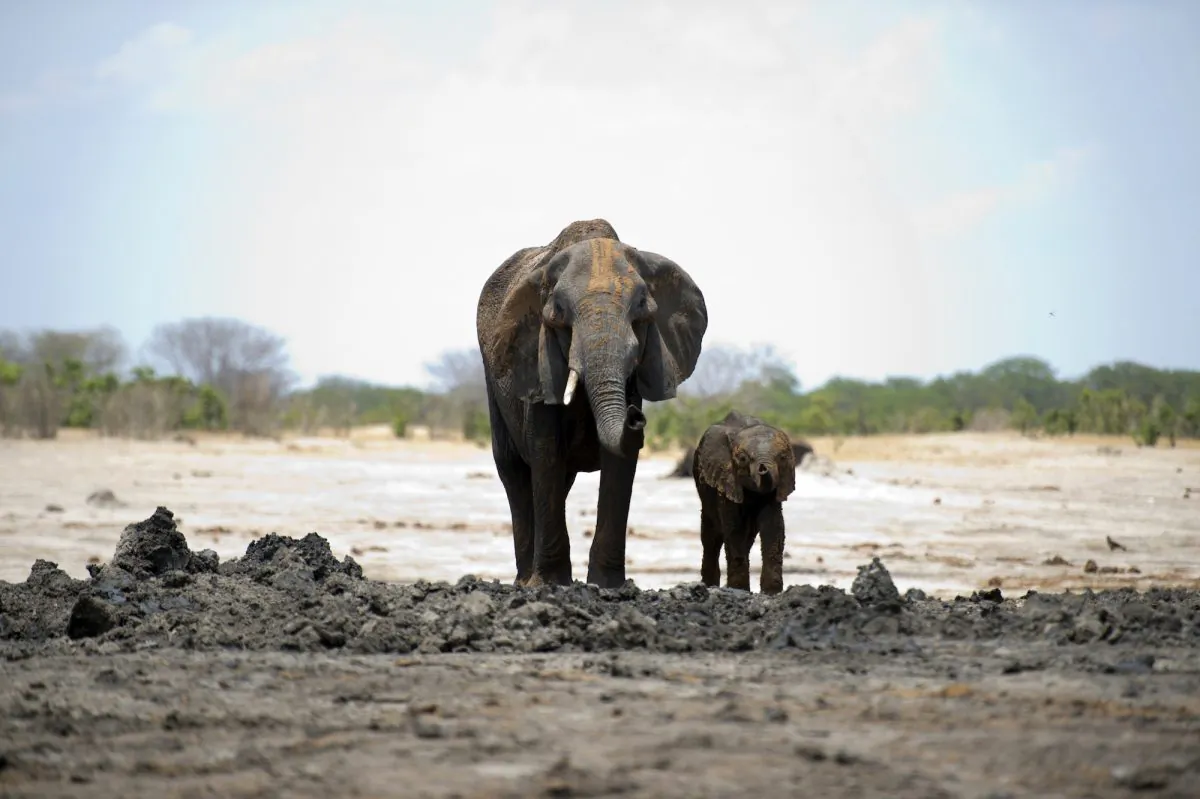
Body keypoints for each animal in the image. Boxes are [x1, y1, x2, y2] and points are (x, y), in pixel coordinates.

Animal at [476, 219, 708, 588]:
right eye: (558, 312)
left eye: (642, 309)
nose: (636, 416)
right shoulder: (536, 354)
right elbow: (545, 451)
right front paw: (550, 584)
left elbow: (620, 463)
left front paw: (607, 585)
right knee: (513, 470)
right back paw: (524, 581)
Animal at [693, 410, 797, 594]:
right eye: (743, 459)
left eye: (782, 457)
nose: (763, 468)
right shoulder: (726, 479)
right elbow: (735, 527)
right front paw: (739, 590)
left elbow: (773, 525)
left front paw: (771, 592)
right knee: (711, 538)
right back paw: (710, 586)